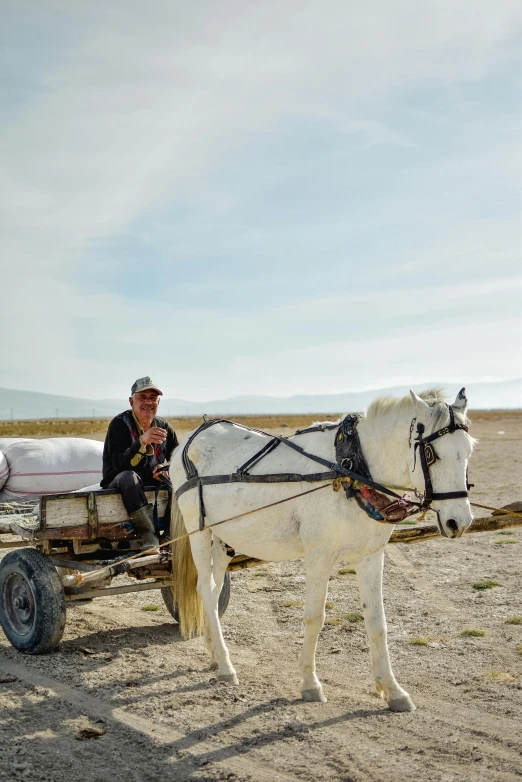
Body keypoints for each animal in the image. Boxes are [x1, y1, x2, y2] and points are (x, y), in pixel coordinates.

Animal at [169, 388, 474, 712]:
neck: (352, 469)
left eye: (469, 452)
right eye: (431, 454)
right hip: (198, 529)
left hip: (222, 537)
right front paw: (310, 684)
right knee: (204, 587)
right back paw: (227, 666)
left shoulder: (371, 555)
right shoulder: (319, 556)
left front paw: (393, 690)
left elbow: (377, 622)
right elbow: (315, 618)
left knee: (214, 592)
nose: (460, 521)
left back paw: (216, 654)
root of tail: (191, 439)